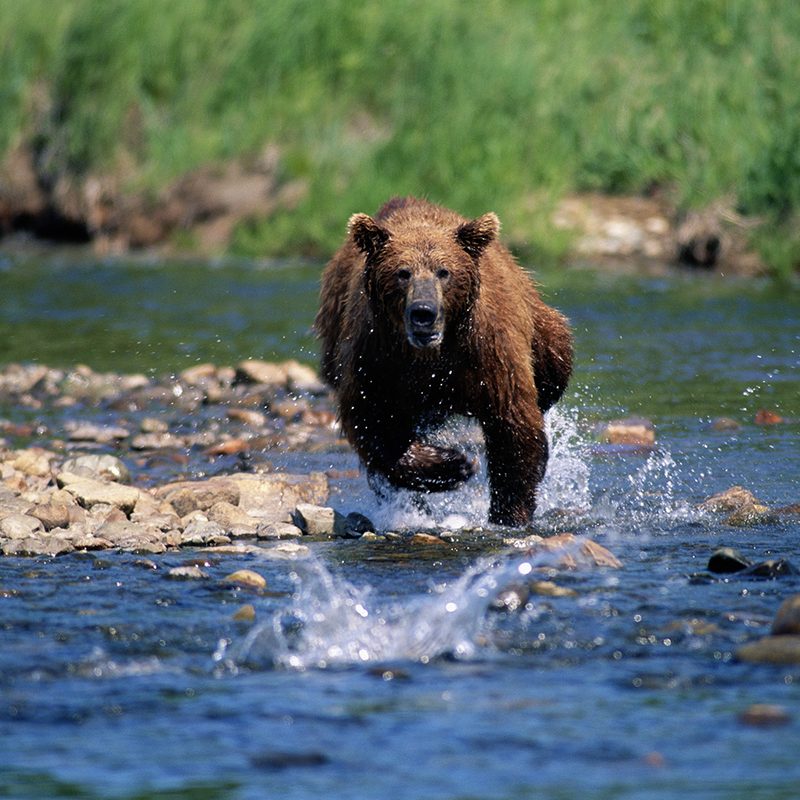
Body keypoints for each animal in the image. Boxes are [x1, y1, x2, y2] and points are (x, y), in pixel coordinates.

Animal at [315, 197, 572, 526]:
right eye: (403, 272)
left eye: (444, 271)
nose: (423, 312)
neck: (431, 356)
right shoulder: (376, 357)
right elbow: (373, 422)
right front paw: (453, 465)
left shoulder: (489, 352)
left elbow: (512, 424)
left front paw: (509, 512)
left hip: (541, 328)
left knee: (555, 363)